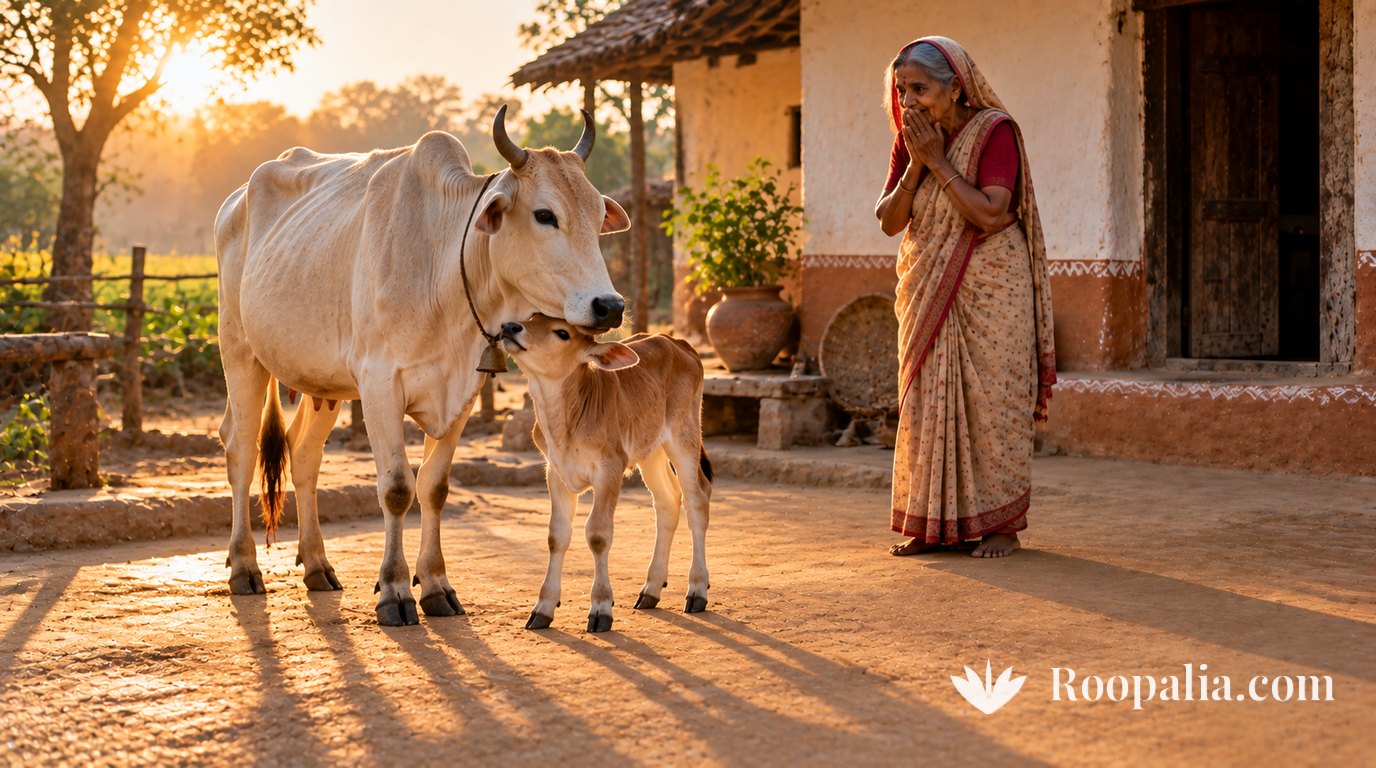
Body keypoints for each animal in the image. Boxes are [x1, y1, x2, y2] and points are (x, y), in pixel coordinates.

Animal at [214, 107, 629, 626]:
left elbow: (434, 487)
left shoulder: (463, 391)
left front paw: (434, 586)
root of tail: (234, 200)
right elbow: (396, 488)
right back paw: (244, 567)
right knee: (241, 449)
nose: (609, 306)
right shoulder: (379, 385)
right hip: (239, 351)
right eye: (545, 214)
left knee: (303, 453)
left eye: (596, 215)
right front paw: (393, 590)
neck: (444, 263)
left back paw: (317, 565)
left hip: (322, 382)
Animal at [497, 314, 713, 632]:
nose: (510, 327)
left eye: (562, 332)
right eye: (532, 317)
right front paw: (543, 608)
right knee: (668, 501)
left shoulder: (610, 468)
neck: (565, 421)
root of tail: (678, 342)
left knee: (697, 499)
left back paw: (697, 589)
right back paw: (651, 590)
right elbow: (557, 535)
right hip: (651, 451)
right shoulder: (556, 473)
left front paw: (600, 607)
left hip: (684, 435)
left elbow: (598, 534)